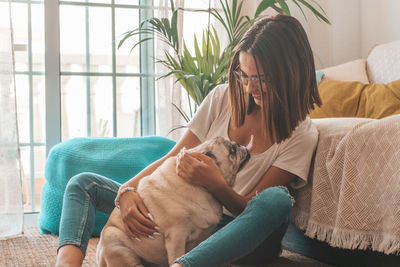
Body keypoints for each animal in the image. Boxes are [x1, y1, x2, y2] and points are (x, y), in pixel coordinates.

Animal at [96, 137, 252, 266]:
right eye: (232, 150)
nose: (240, 145)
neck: (202, 186)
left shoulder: (203, 237)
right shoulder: (176, 236)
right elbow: (177, 256)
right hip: (117, 245)